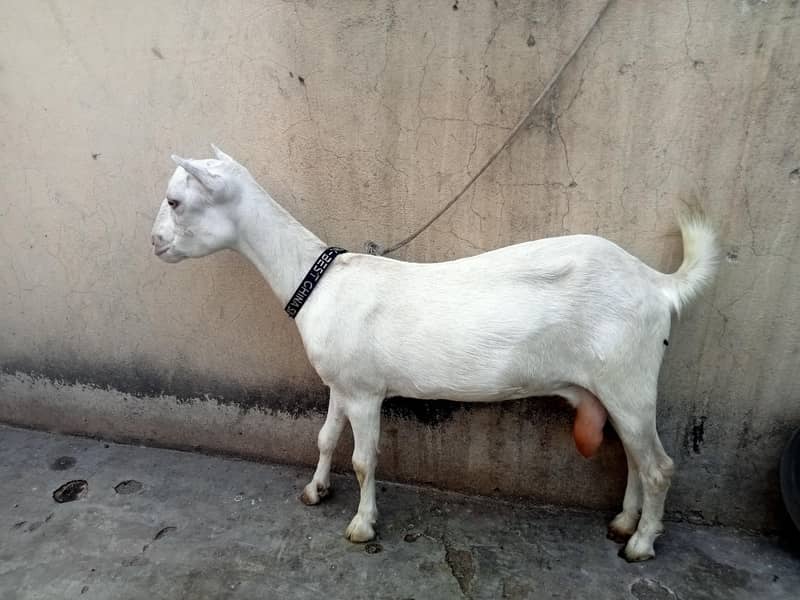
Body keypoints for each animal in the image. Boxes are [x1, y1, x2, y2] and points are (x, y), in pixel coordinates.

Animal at [150, 146, 718, 561]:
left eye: (175, 201)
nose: (154, 242)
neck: (318, 282)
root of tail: (657, 284)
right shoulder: (340, 382)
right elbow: (326, 438)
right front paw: (315, 492)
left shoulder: (366, 392)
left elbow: (363, 460)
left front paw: (361, 525)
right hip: (616, 386)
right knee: (634, 458)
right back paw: (623, 523)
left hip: (628, 378)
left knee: (659, 466)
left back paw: (641, 544)